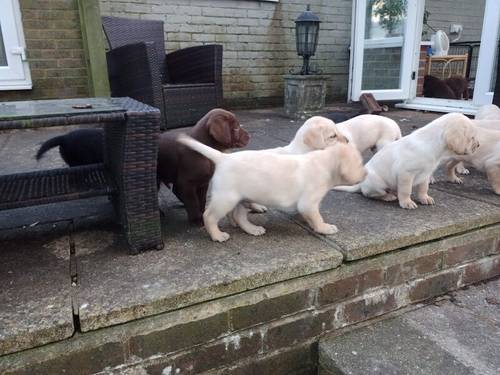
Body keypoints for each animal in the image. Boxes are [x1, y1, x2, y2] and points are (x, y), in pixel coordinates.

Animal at [178, 134, 366, 242]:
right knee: (209, 215)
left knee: (238, 216)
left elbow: (312, 215)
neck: (325, 163)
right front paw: (324, 228)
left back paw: (252, 229)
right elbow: (316, 217)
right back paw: (217, 235)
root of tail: (224, 158)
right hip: (226, 198)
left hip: (243, 197)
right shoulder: (308, 202)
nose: (365, 174)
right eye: (359, 163)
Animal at [334, 113, 478, 210]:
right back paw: (388, 196)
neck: (432, 144)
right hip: (377, 183)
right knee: (371, 194)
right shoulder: (406, 174)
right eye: (472, 138)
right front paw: (406, 202)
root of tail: (361, 185)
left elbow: (423, 188)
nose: (478, 145)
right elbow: (405, 190)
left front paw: (424, 198)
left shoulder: (425, 175)